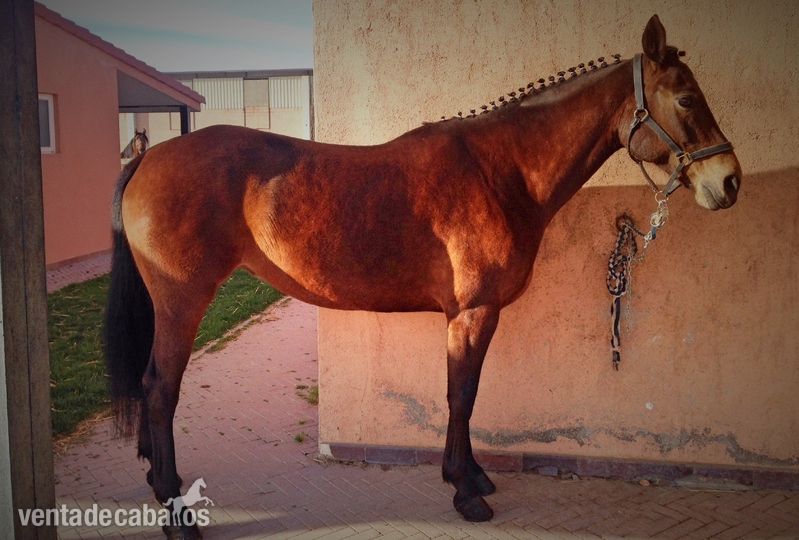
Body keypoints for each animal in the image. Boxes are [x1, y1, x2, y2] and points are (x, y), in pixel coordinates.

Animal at [103, 15, 741, 539]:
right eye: (687, 97)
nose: (730, 181)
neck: (501, 169)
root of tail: (148, 156)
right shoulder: (472, 311)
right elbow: (461, 393)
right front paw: (465, 492)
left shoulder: (478, 314)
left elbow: (469, 393)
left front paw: (473, 476)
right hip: (183, 301)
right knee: (160, 388)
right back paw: (178, 515)